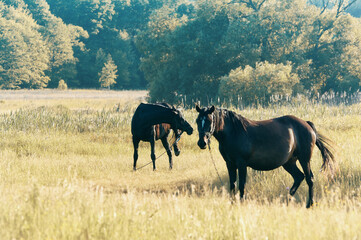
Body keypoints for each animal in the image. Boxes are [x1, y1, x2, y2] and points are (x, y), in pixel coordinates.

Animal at [195, 105, 334, 208]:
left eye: (209, 120)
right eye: (197, 121)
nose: (202, 143)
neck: (233, 132)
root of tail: (306, 124)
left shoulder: (241, 164)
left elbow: (241, 184)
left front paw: (241, 203)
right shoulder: (230, 164)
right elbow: (232, 184)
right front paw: (232, 204)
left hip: (304, 159)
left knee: (309, 178)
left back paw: (309, 204)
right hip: (289, 162)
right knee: (299, 177)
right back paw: (287, 199)